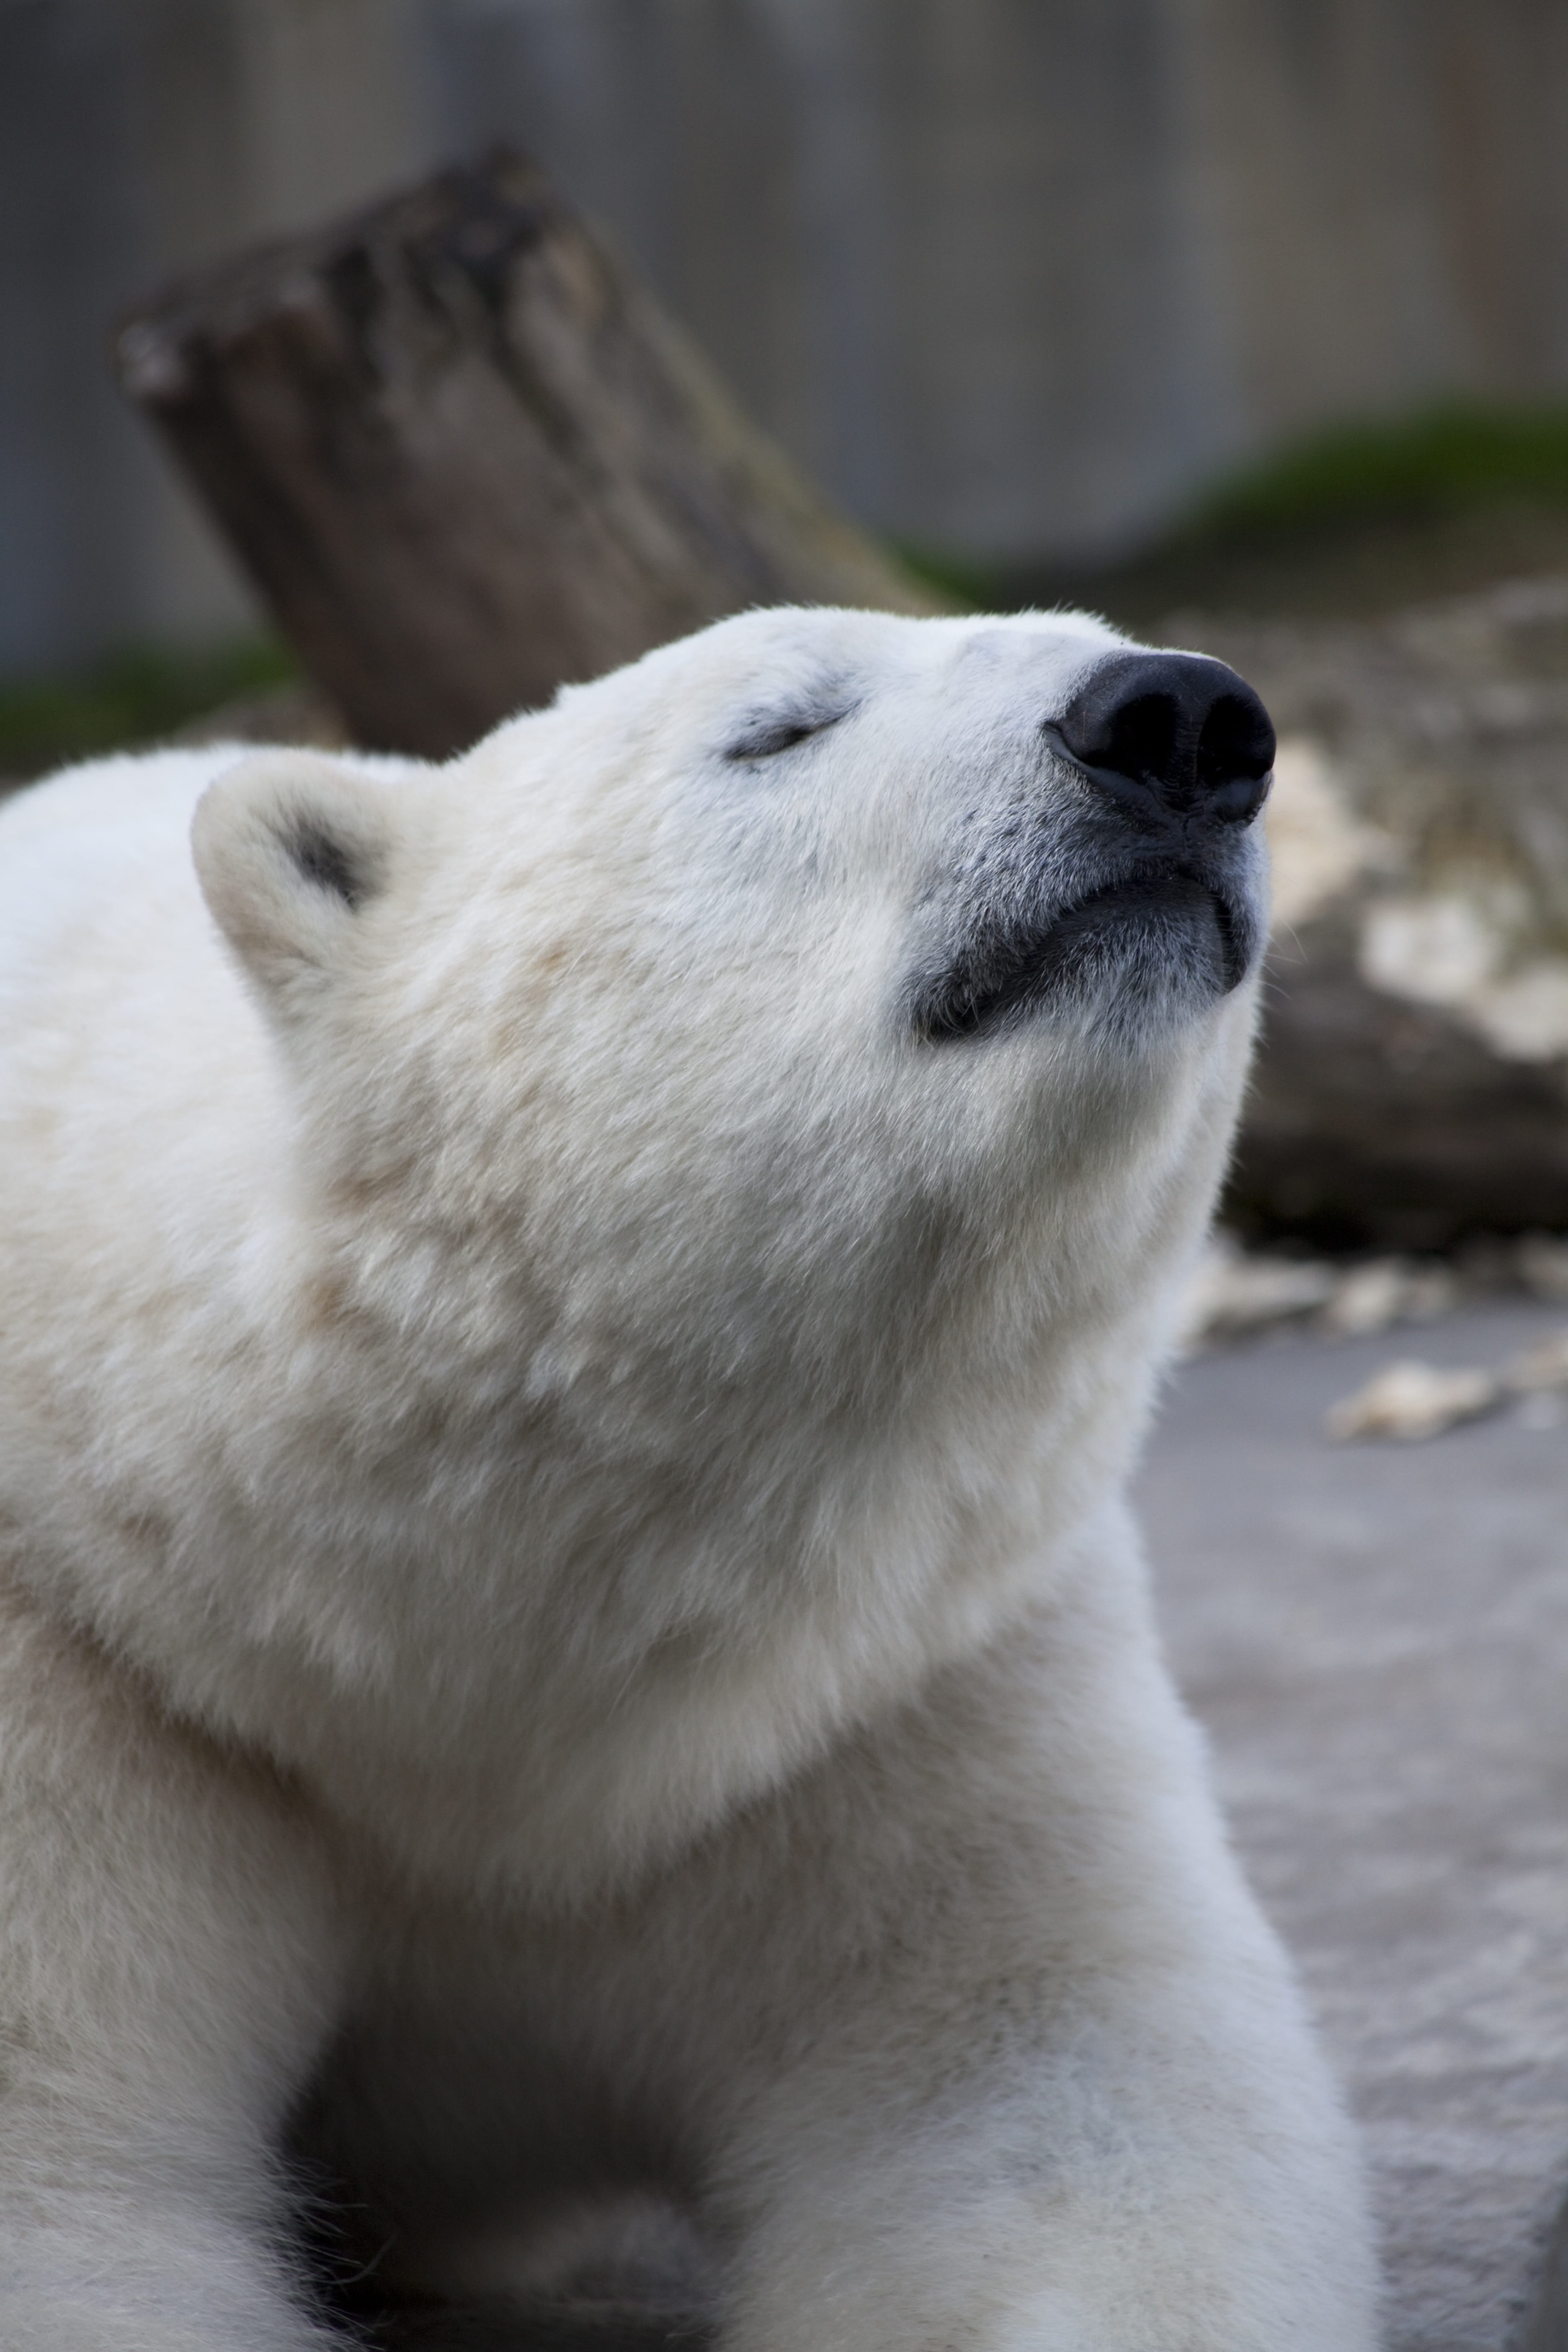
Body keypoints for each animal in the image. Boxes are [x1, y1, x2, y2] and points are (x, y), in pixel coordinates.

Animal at [0, 605, 1377, 2351]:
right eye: (776, 728)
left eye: (1107, 645)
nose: (1180, 720)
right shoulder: (100, 1674)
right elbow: (58, 2182)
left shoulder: (875, 1686)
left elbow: (1064, 2098)